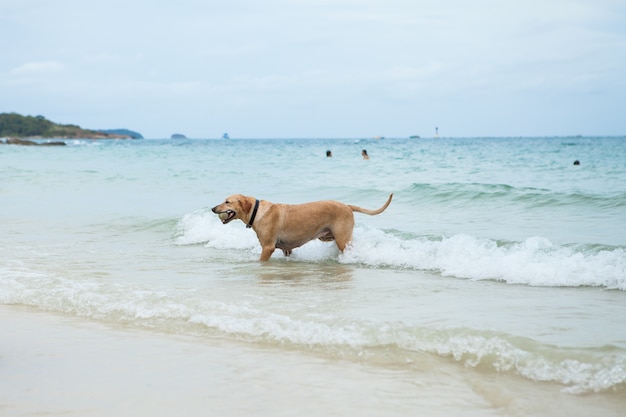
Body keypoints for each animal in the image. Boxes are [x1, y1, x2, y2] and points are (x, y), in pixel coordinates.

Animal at [212, 193, 392, 260]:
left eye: (227, 202)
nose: (213, 208)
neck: (256, 212)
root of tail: (347, 206)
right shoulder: (287, 249)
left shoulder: (268, 247)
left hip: (342, 238)